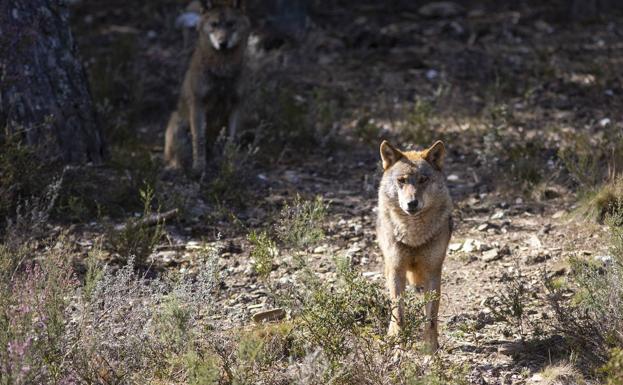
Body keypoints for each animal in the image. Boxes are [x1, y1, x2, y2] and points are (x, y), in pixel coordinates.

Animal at [167, 0, 252, 176]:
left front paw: (229, 165)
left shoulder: (236, 106)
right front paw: (199, 168)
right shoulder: (198, 104)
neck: (222, 70)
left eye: (231, 24)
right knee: (175, 158)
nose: (222, 43)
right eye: (214, 24)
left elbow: (230, 141)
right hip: (177, 123)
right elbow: (199, 140)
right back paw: (176, 168)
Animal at [378, 139, 450, 352]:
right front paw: (398, 344)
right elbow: (399, 314)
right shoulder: (396, 269)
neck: (413, 236)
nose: (412, 203)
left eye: (423, 180)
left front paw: (430, 349)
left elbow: (431, 318)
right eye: (402, 180)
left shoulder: (433, 272)